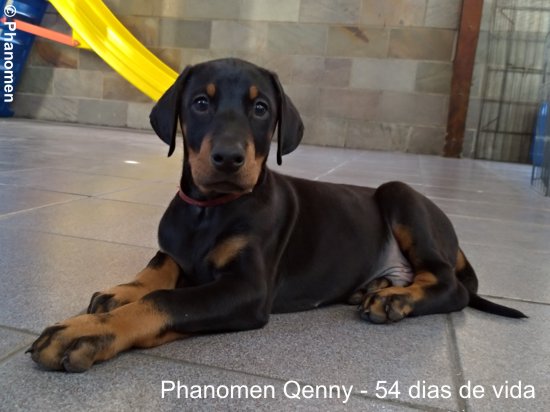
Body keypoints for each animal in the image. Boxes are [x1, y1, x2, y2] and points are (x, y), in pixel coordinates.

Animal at [28, 58, 526, 372]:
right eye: (201, 103)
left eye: (261, 108)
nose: (229, 158)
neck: (210, 210)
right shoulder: (177, 242)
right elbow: (160, 265)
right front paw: (121, 291)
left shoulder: (248, 290)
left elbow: (165, 301)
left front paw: (84, 333)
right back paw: (377, 287)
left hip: (401, 195)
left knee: (450, 285)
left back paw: (394, 299)